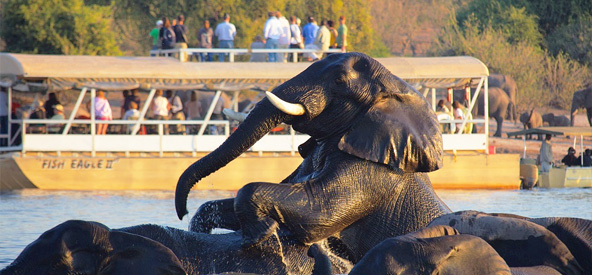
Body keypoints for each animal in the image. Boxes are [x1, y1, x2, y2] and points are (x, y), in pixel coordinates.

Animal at [175, 52, 448, 264]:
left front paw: (260, 235)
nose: (181, 211)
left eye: (339, 81)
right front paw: (199, 226)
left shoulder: (374, 172)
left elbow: (319, 211)